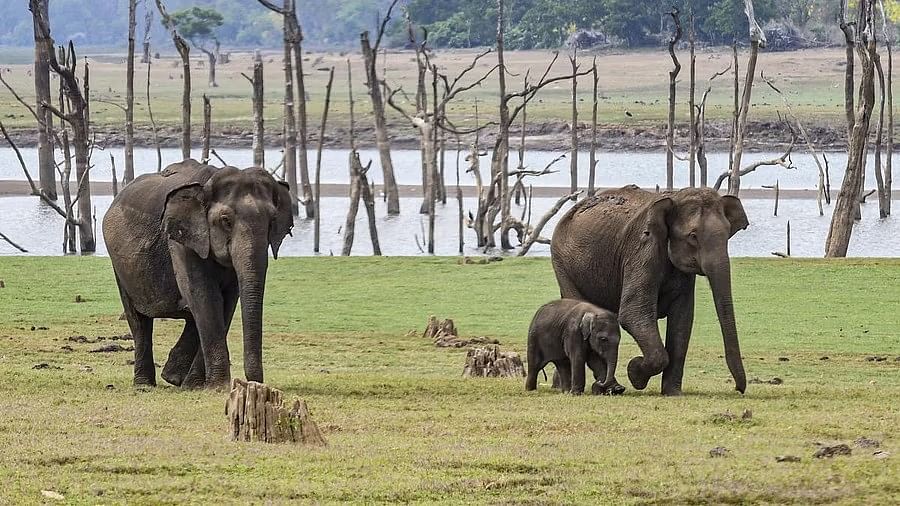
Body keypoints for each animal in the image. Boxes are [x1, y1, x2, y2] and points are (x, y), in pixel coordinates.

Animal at [103, 160, 292, 390]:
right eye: (226, 220)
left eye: (272, 221)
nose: (253, 382)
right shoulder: (182, 241)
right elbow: (205, 296)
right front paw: (217, 387)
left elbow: (226, 302)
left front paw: (194, 385)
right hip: (120, 266)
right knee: (139, 320)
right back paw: (145, 385)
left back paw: (174, 377)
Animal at [548, 185, 752, 396]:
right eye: (693, 236)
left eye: (728, 234)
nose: (738, 388)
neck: (675, 197)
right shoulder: (642, 250)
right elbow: (633, 313)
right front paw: (635, 373)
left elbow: (682, 320)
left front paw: (672, 394)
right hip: (563, 263)